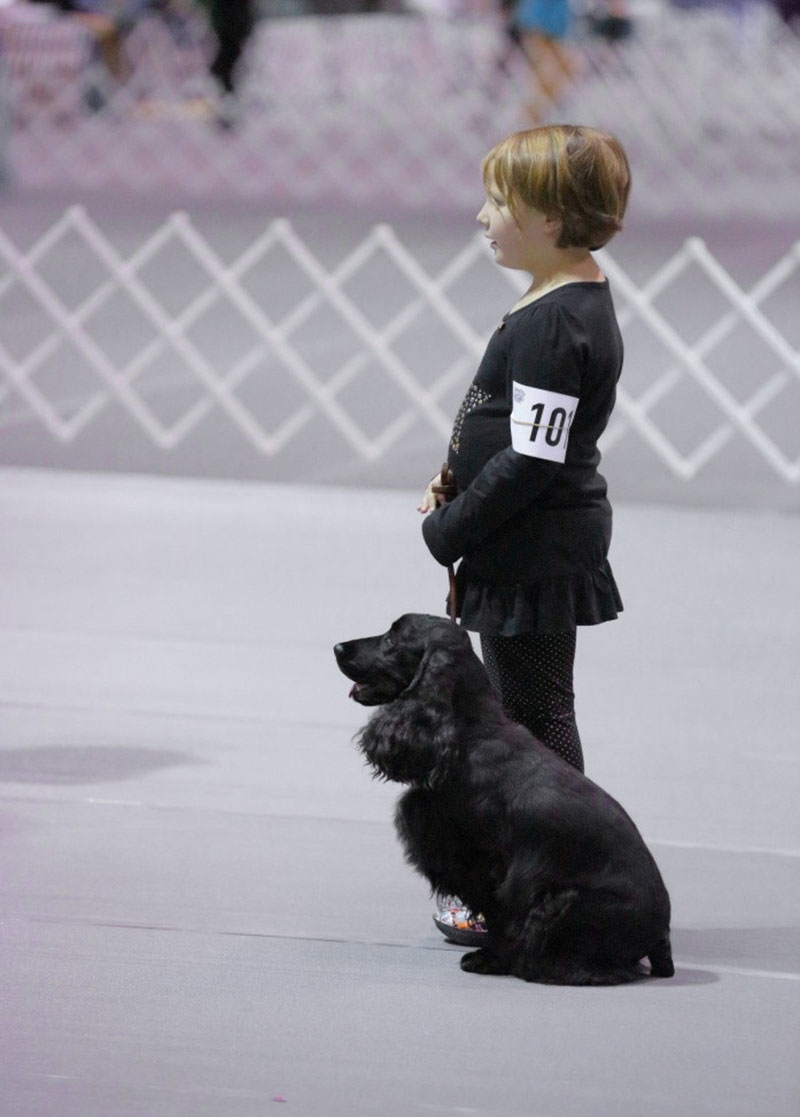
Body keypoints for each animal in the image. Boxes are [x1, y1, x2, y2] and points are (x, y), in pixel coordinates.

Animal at [332, 612, 674, 987]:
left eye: (392, 639)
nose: (337, 647)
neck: (471, 733)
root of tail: (662, 936)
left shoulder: (485, 862)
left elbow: (499, 914)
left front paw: (491, 958)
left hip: (562, 902)